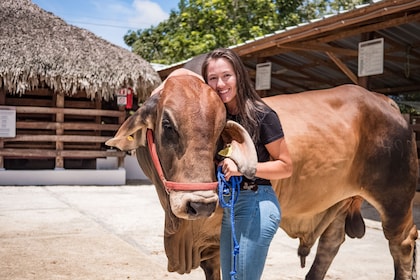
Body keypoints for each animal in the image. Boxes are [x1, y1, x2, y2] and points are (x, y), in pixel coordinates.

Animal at [106, 70, 416, 280]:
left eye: (220, 131)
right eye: (167, 125)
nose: (201, 205)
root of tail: (384, 100)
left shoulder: (216, 237)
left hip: (396, 198)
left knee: (402, 242)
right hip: (337, 201)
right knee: (331, 243)